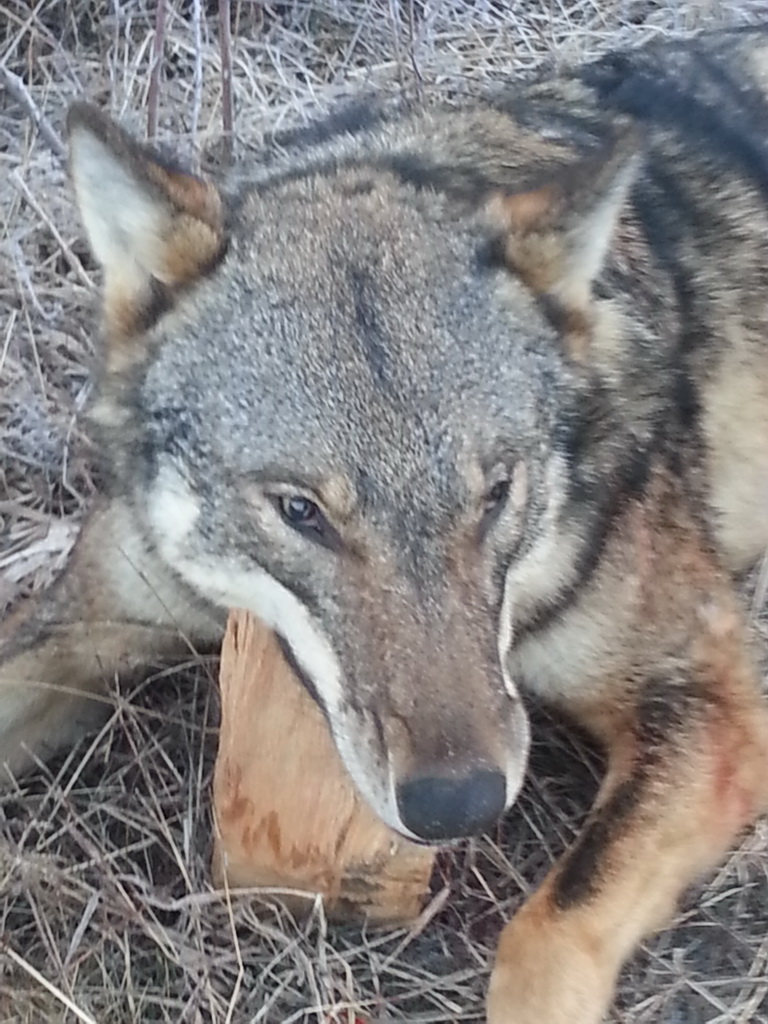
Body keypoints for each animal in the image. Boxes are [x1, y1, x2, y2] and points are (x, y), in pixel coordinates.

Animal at [1, 24, 768, 1024]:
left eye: (496, 493)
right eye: (300, 511)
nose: (461, 805)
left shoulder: (711, 704)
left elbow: (545, 938)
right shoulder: (89, 619)